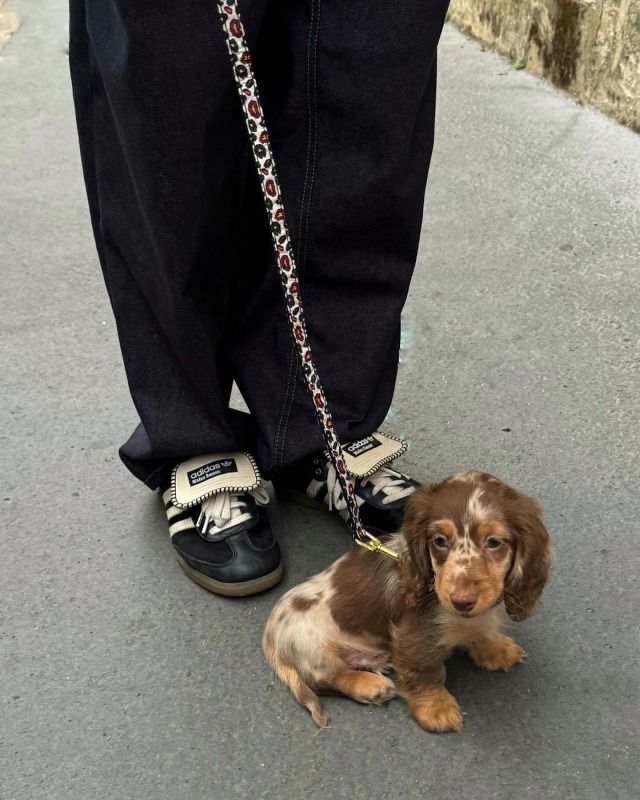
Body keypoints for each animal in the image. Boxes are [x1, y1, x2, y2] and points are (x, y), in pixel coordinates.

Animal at [262, 468, 552, 732]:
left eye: (493, 542)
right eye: (439, 540)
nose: (461, 601)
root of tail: (271, 633)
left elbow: (478, 630)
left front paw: (495, 649)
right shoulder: (414, 633)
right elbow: (427, 672)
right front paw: (436, 709)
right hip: (315, 647)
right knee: (325, 679)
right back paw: (369, 685)